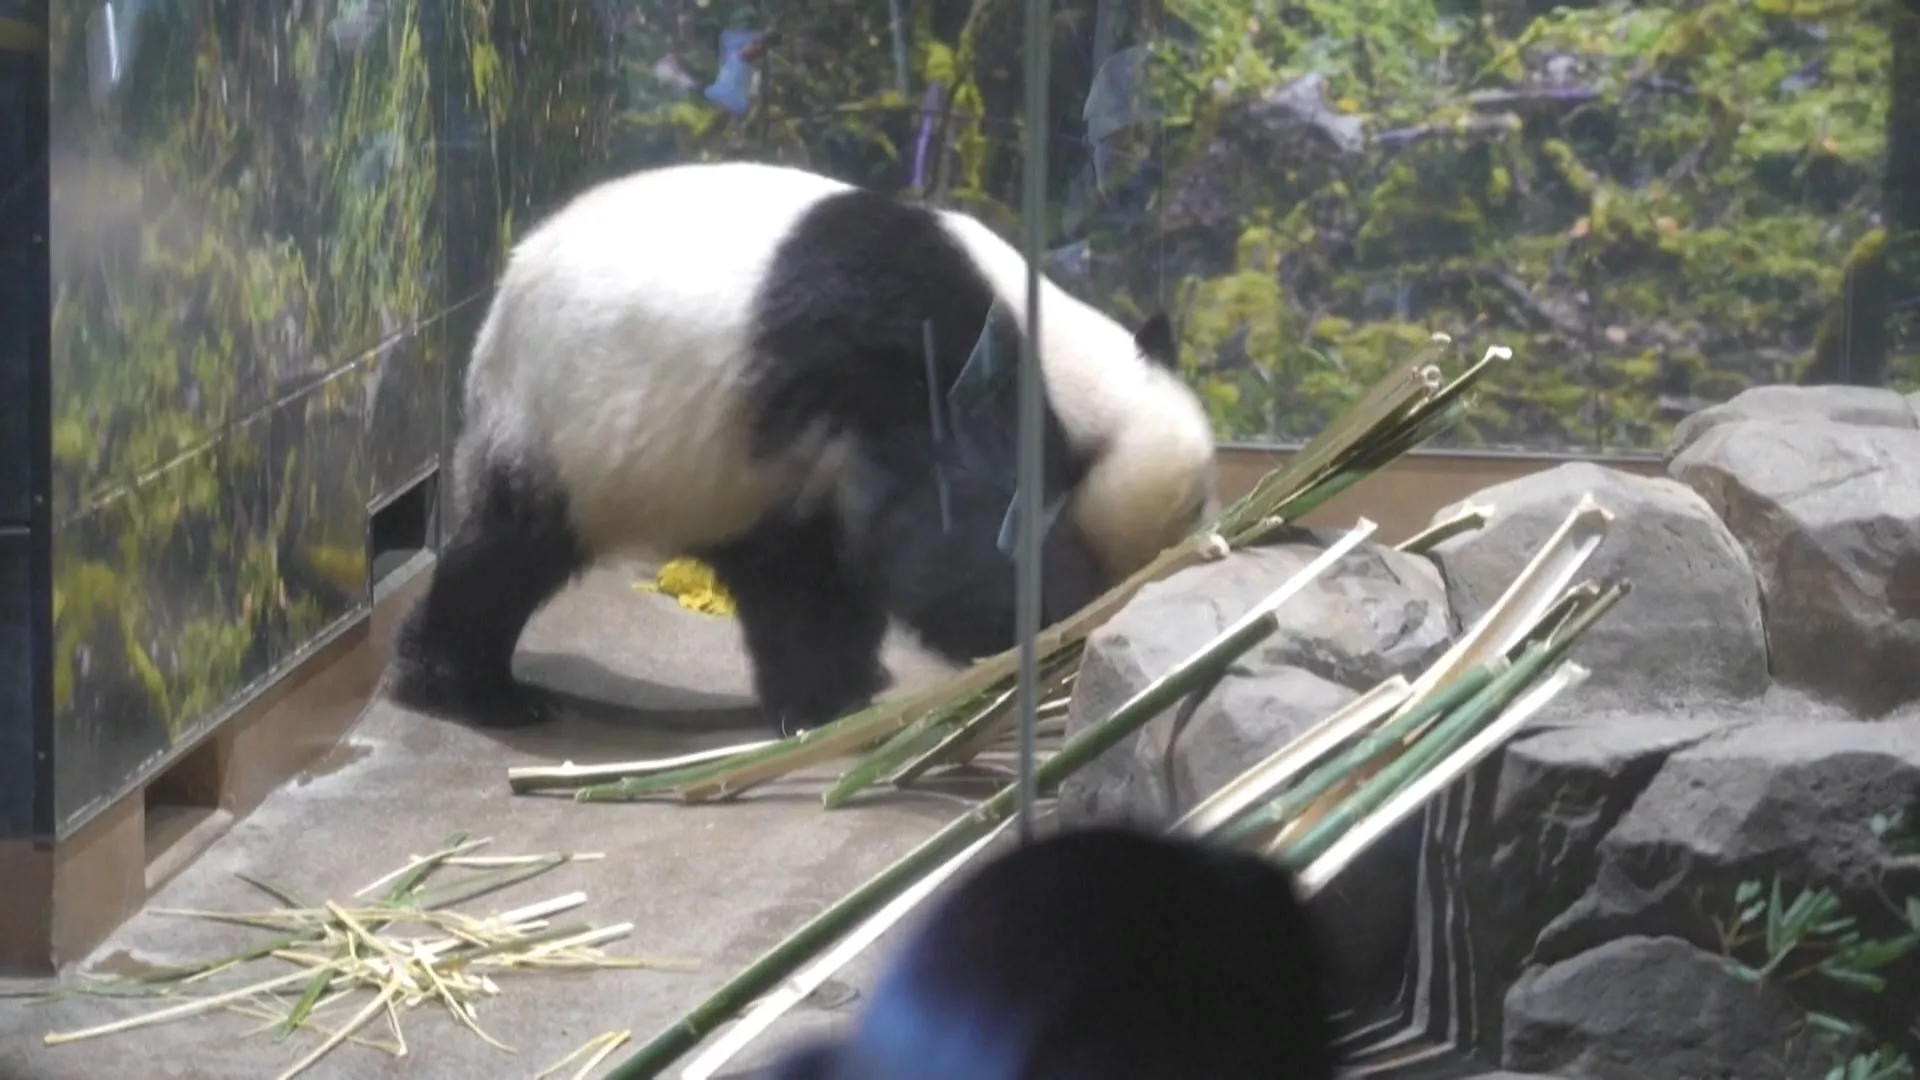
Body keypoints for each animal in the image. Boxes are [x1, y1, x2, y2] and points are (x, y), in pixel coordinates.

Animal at [385, 161, 1218, 736]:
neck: (1066, 370)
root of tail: (496, 304)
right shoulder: (926, 361)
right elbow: (950, 539)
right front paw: (1058, 616)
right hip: (563, 423)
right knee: (510, 556)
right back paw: (467, 687)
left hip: (726, 471)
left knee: (790, 576)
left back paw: (830, 696)